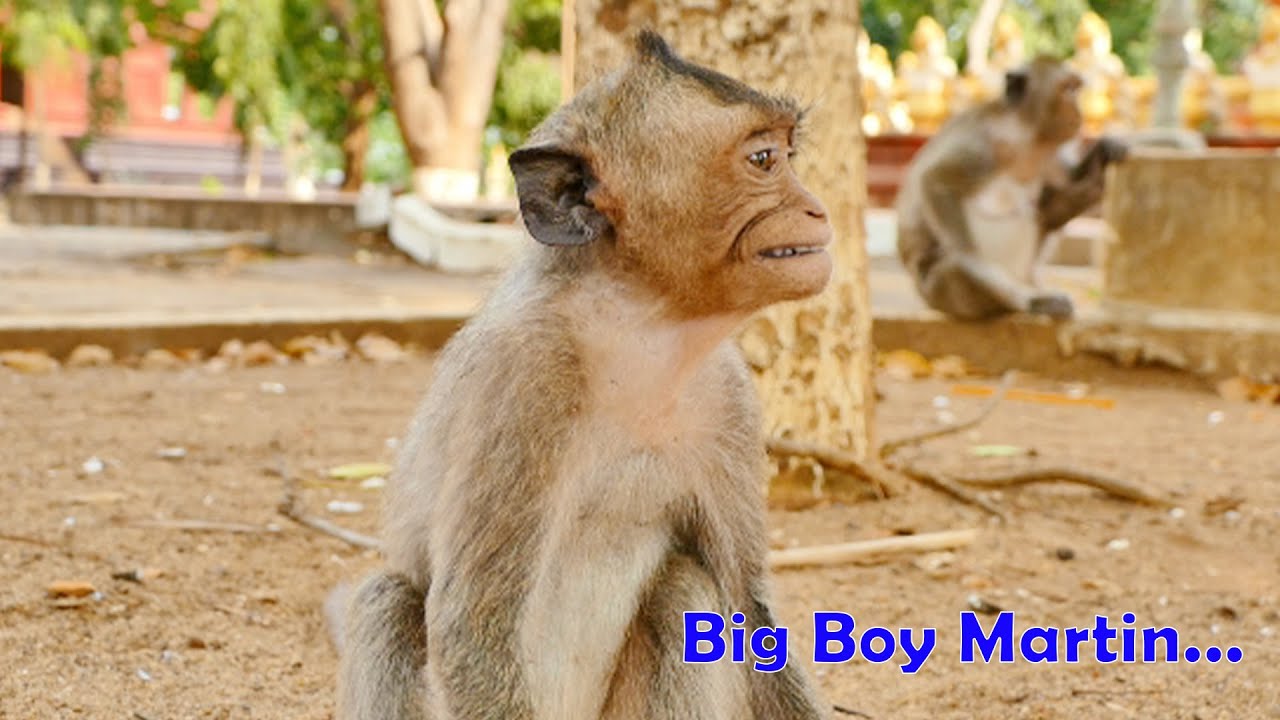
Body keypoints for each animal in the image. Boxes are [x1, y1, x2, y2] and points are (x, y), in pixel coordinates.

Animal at [334, 30, 834, 720]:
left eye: (788, 153)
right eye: (763, 159)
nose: (817, 209)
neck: (640, 334)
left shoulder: (729, 399)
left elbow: (746, 606)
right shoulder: (522, 379)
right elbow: (471, 626)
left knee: (684, 585)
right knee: (385, 599)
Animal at [895, 55, 1128, 321]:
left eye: (1075, 88)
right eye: (1066, 89)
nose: (1079, 110)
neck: (1028, 137)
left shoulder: (1051, 155)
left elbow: (1064, 186)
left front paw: (1104, 150)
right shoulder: (984, 143)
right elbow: (936, 182)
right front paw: (970, 259)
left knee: (1043, 214)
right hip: (943, 292)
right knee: (957, 272)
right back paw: (1025, 300)